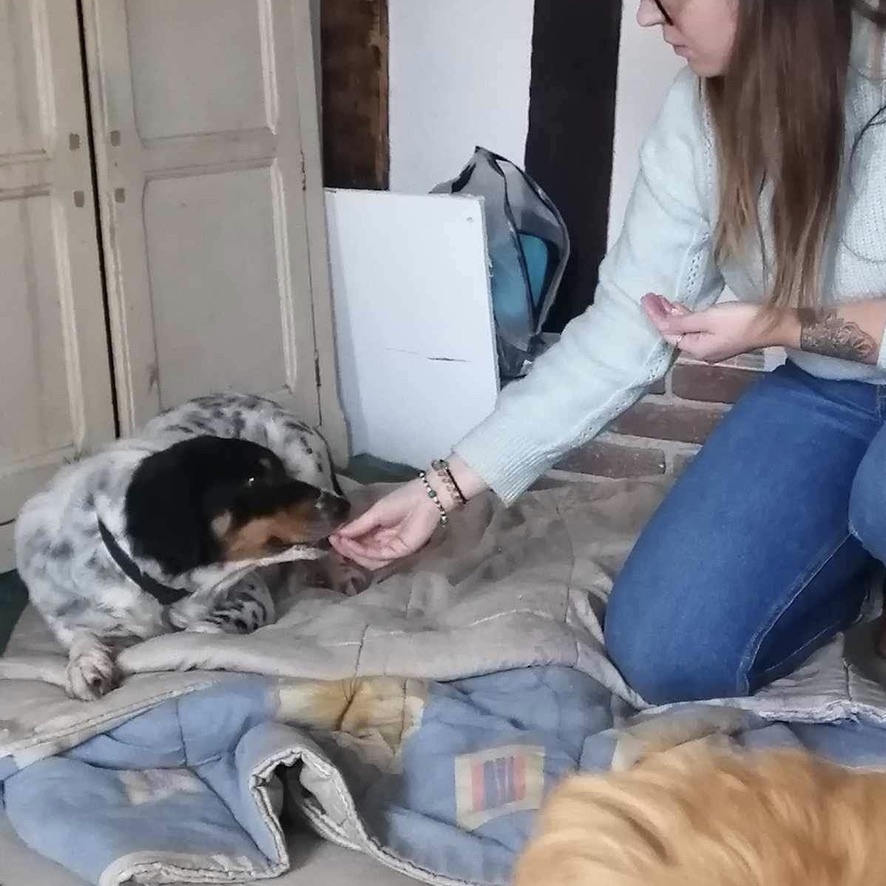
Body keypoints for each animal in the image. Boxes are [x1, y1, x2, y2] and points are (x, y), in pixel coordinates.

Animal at [17, 394, 372, 700]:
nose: (342, 507)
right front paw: (86, 666)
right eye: (254, 481)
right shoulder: (69, 616)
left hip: (307, 458)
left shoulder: (250, 595)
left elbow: (198, 632)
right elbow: (81, 637)